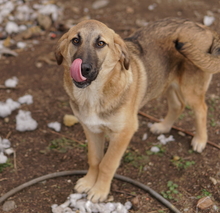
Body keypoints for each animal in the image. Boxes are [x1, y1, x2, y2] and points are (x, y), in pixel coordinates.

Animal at [55, 17, 220, 202]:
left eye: (100, 43)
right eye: (75, 40)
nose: (84, 68)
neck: (93, 93)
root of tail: (205, 28)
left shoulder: (123, 133)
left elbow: (107, 163)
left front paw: (99, 190)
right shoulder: (92, 129)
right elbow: (95, 158)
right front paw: (89, 182)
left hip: (190, 89)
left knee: (201, 109)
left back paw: (200, 140)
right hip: (165, 82)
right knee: (178, 105)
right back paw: (163, 127)